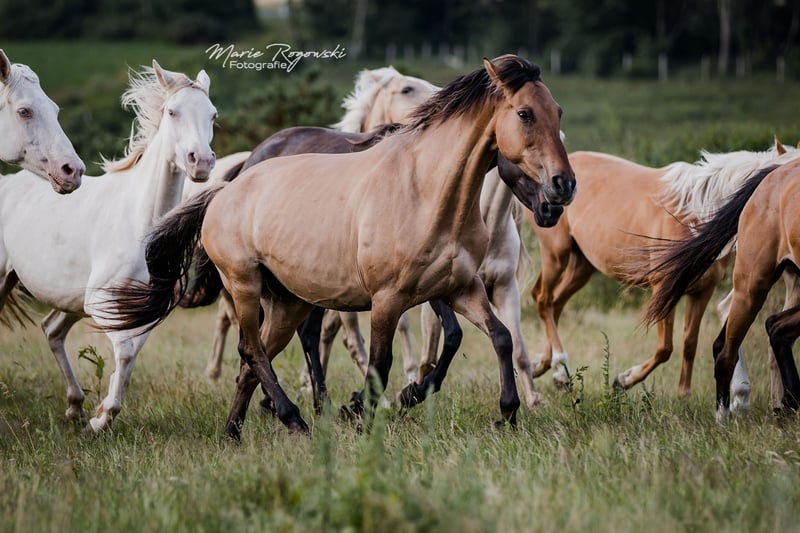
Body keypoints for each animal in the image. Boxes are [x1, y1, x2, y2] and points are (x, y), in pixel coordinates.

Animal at [105, 55, 575, 440]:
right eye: (525, 113)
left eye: (558, 112)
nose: (563, 187)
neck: (426, 190)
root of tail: (225, 189)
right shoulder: (390, 299)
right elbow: (383, 362)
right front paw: (366, 413)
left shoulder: (461, 288)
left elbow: (499, 338)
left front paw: (507, 413)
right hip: (244, 286)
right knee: (252, 350)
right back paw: (295, 418)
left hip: (288, 302)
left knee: (260, 356)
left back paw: (235, 432)